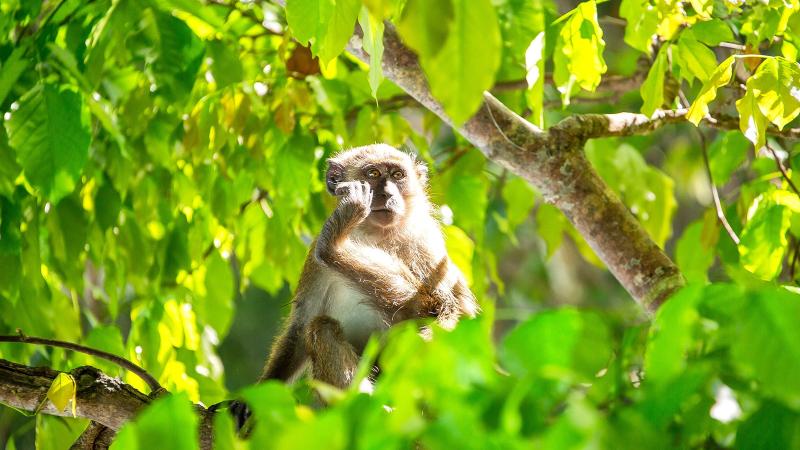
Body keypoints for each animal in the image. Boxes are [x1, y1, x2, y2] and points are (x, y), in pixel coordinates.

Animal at [229, 143, 478, 427]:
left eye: (397, 175)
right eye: (373, 173)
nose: (388, 193)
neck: (374, 235)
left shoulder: (426, 243)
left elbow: (452, 310)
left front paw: (335, 245)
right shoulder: (313, 257)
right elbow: (302, 324)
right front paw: (252, 399)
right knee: (321, 328)